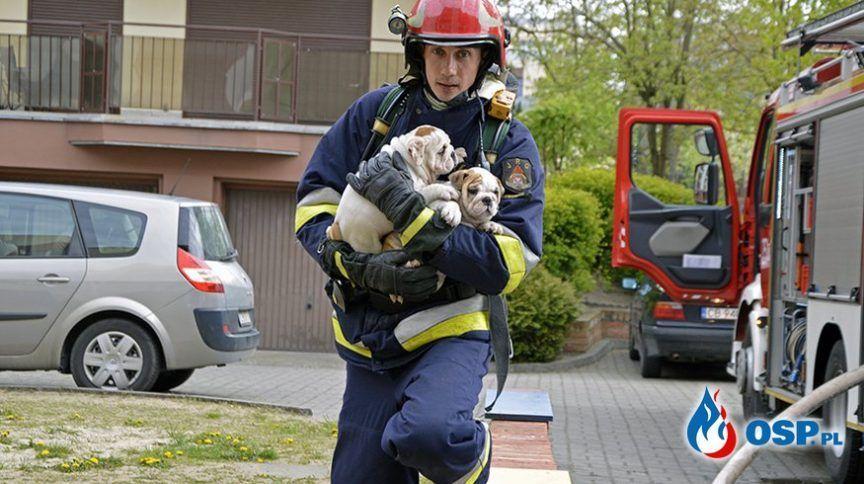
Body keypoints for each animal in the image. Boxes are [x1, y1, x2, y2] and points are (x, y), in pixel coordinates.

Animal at [328, 124, 466, 253]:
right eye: (441, 151)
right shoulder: (416, 192)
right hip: (367, 242)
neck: (407, 159)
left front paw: (453, 211)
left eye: (449, 144)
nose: (453, 153)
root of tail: (337, 226)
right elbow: (431, 189)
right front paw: (446, 190)